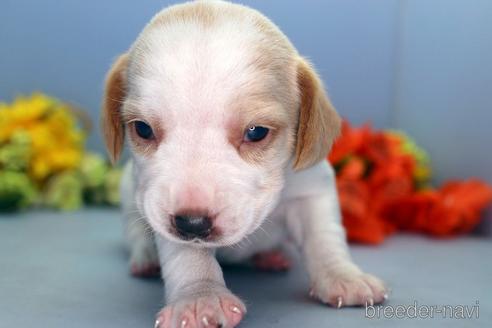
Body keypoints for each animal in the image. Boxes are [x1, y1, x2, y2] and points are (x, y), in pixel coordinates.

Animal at [102, 1, 388, 326]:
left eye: (256, 132)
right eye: (143, 129)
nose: (192, 224)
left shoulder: (313, 191)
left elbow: (324, 237)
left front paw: (343, 275)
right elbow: (187, 256)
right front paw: (200, 296)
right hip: (129, 194)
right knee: (135, 231)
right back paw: (146, 259)